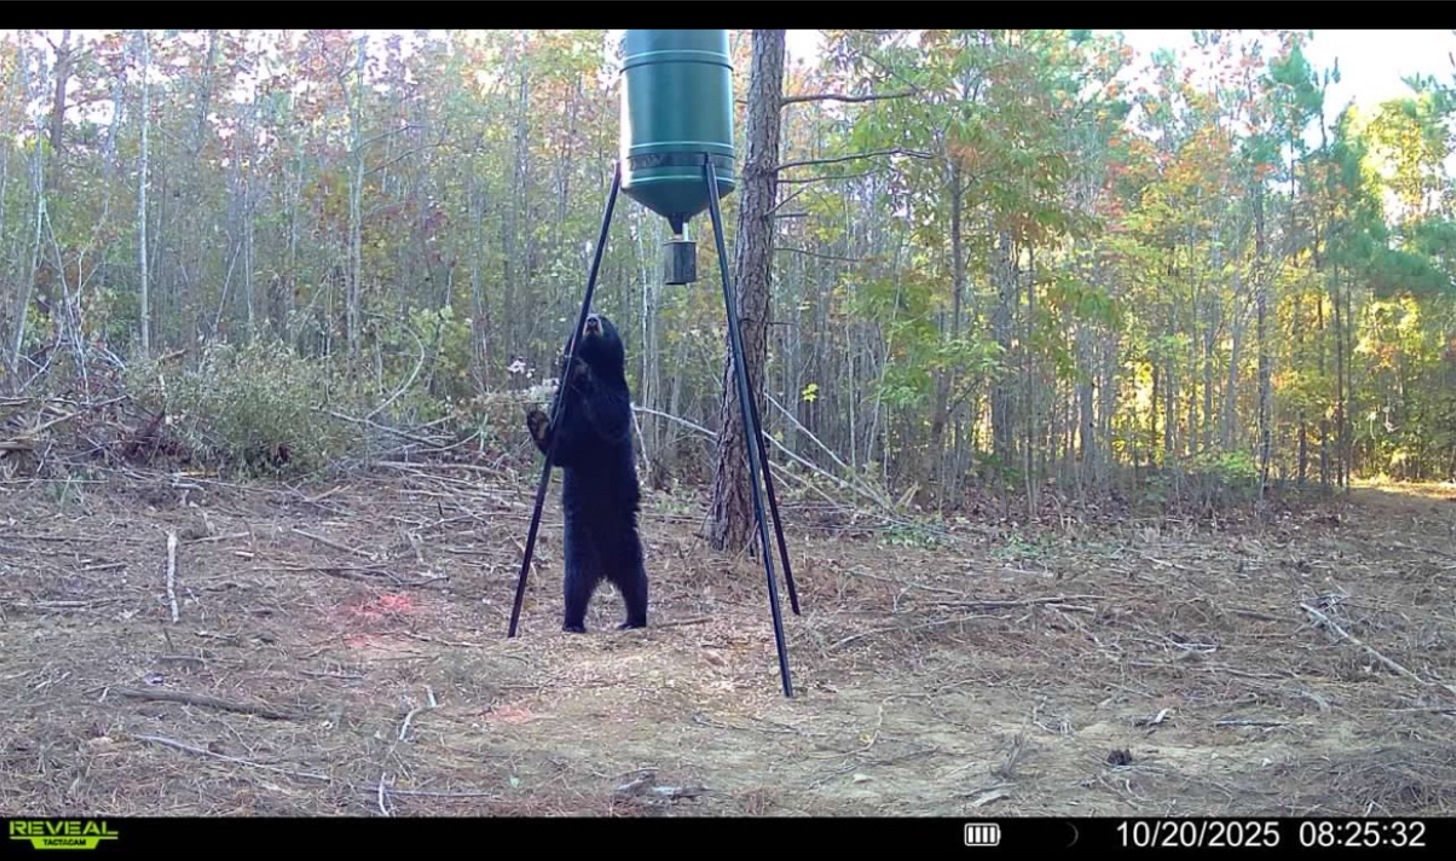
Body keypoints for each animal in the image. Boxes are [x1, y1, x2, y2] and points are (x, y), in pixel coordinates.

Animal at [525, 312, 648, 633]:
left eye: (605, 317)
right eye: (585, 318)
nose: (592, 319)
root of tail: (605, 565)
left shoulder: (618, 391)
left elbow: (612, 416)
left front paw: (581, 369)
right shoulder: (565, 405)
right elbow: (564, 448)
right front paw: (538, 422)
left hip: (626, 542)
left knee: (637, 580)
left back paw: (635, 619)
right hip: (578, 544)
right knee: (575, 583)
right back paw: (573, 622)